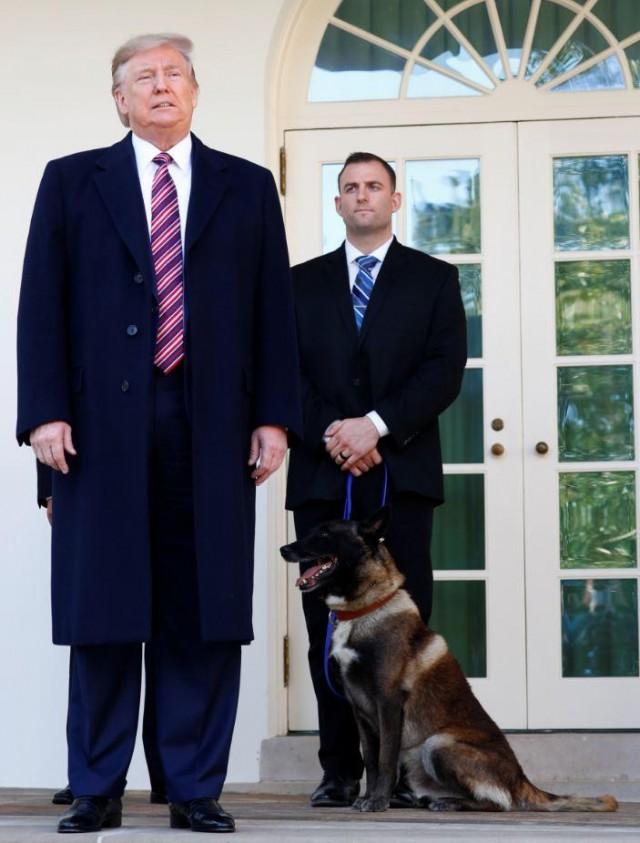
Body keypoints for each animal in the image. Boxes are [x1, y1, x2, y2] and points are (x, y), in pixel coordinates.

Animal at [282, 512, 620, 816]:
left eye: (325, 533)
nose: (283, 550)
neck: (366, 608)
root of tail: (522, 780)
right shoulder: (360, 712)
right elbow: (371, 761)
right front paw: (368, 798)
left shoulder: (388, 704)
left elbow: (385, 760)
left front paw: (377, 801)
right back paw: (435, 800)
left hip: (438, 743)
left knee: (499, 802)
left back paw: (449, 803)